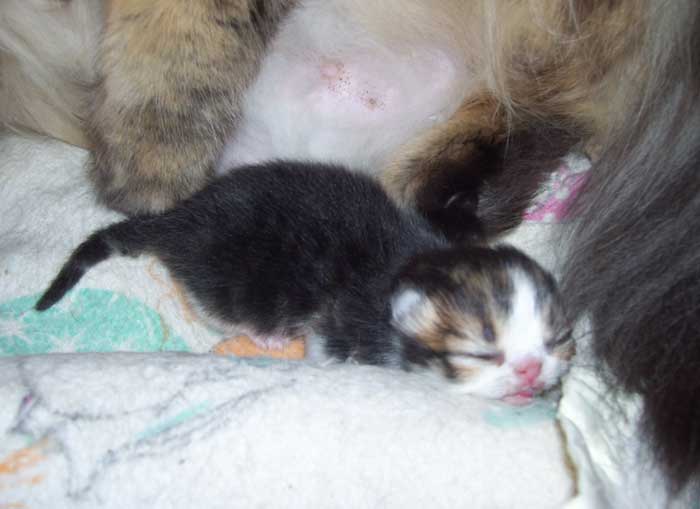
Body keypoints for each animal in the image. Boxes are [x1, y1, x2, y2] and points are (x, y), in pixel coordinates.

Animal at [35, 161, 573, 405]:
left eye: (556, 342)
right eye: (480, 354)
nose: (529, 371)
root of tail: (181, 218)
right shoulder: (340, 322)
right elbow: (325, 351)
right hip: (240, 288)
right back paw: (267, 336)